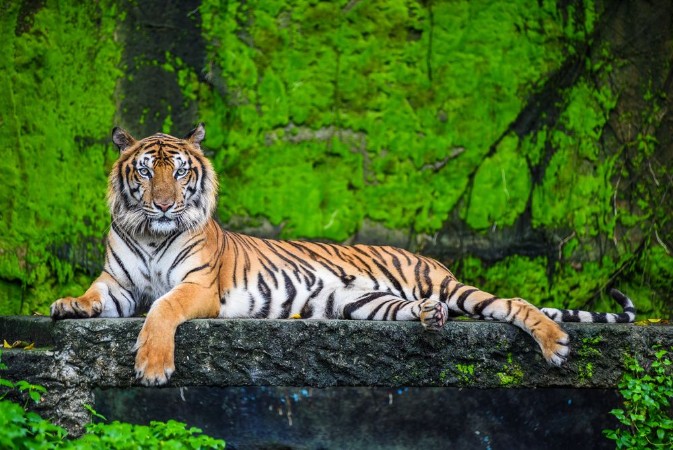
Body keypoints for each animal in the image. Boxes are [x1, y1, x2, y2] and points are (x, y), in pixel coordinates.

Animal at [50, 124, 636, 386]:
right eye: (146, 171)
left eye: (180, 171)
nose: (164, 204)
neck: (151, 234)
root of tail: (433, 264)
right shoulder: (118, 285)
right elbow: (97, 296)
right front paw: (67, 305)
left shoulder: (198, 287)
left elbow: (161, 308)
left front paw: (152, 366)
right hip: (360, 303)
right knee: (414, 311)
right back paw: (431, 319)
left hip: (448, 284)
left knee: (512, 303)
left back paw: (556, 344)